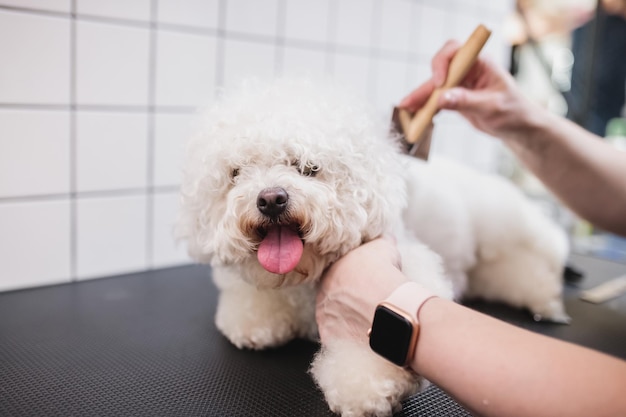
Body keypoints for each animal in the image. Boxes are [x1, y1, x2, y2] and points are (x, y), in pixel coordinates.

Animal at [177, 79, 572, 416]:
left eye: (308, 167)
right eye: (236, 172)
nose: (272, 199)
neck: (306, 276)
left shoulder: (410, 264)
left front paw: (366, 386)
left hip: (505, 229)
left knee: (530, 264)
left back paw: (545, 299)